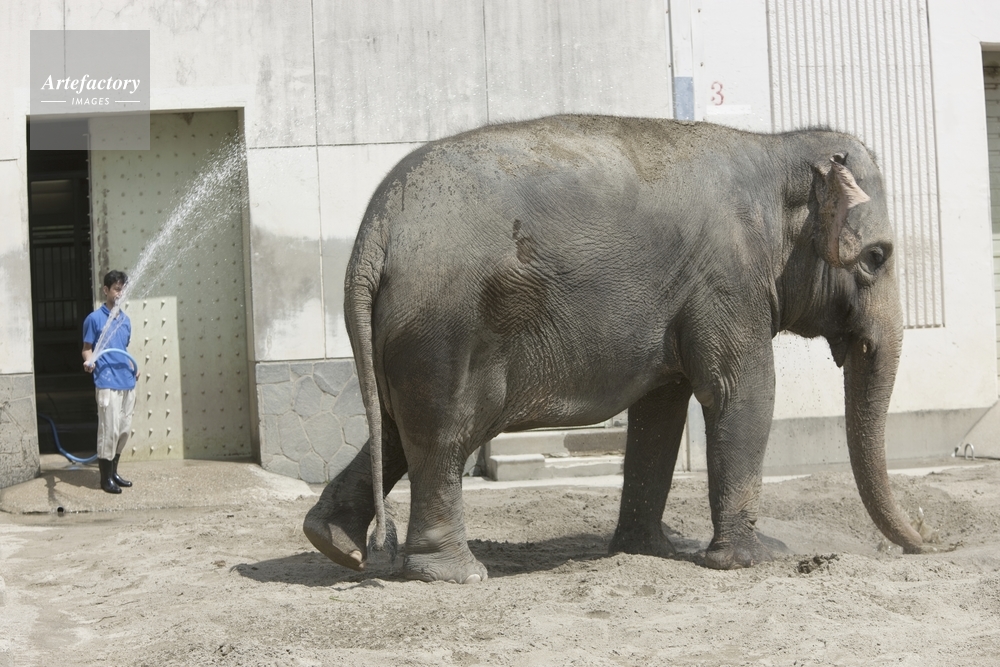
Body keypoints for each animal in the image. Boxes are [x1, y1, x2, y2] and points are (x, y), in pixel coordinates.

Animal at [303, 114, 926, 584]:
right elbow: (742, 391)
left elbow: (662, 409)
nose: (925, 542)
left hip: (405, 332)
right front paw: (755, 559)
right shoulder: (728, 281)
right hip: (445, 327)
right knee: (447, 435)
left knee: (397, 426)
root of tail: (376, 229)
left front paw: (655, 549)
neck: (778, 149)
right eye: (876, 257)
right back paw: (458, 573)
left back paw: (333, 542)